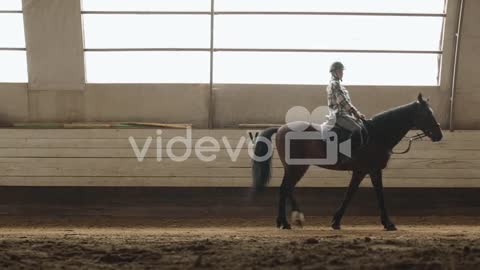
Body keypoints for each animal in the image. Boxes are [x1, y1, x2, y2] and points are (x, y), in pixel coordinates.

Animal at [251, 94, 442, 231]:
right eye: (427, 113)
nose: (439, 135)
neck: (378, 134)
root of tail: (281, 128)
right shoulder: (373, 170)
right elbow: (379, 195)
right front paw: (388, 224)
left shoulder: (361, 171)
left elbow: (350, 194)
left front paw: (336, 221)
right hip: (297, 167)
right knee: (286, 188)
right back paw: (291, 220)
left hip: (294, 168)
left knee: (286, 189)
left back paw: (286, 221)